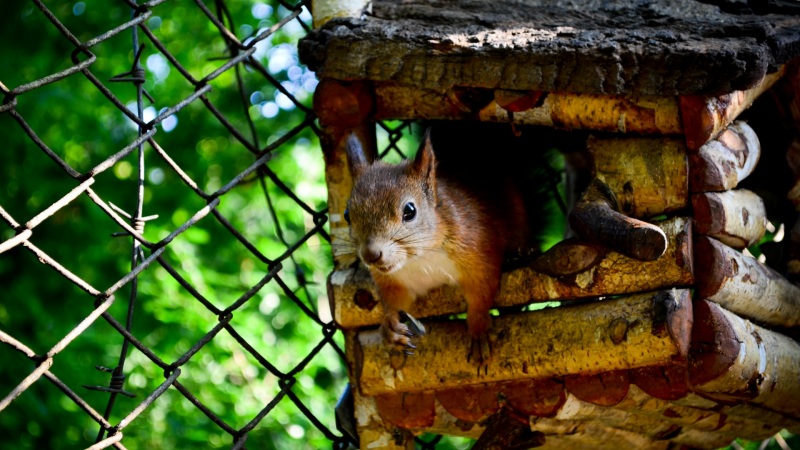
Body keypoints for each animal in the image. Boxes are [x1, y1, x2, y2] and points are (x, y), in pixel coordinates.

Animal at [340, 127, 528, 366]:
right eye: (347, 215)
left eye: (410, 211)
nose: (370, 255)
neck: (419, 258)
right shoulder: (393, 281)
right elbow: (395, 302)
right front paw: (391, 328)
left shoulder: (479, 250)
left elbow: (481, 290)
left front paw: (478, 329)